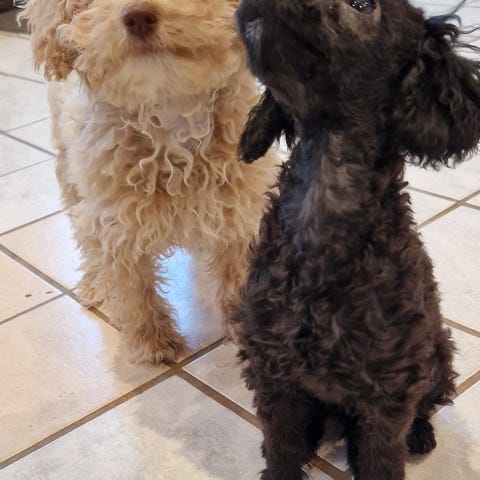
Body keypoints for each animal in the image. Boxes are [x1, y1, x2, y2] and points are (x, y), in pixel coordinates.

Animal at [21, 0, 278, 364]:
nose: (138, 16)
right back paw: (95, 282)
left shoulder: (240, 208)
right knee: (83, 232)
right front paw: (152, 341)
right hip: (68, 170)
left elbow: (237, 270)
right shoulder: (114, 222)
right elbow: (132, 285)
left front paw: (245, 328)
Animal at [234, 0, 480, 478]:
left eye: (362, 6)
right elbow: (282, 445)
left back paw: (420, 434)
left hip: (436, 357)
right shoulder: (273, 369)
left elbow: (381, 459)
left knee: (426, 405)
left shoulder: (387, 394)